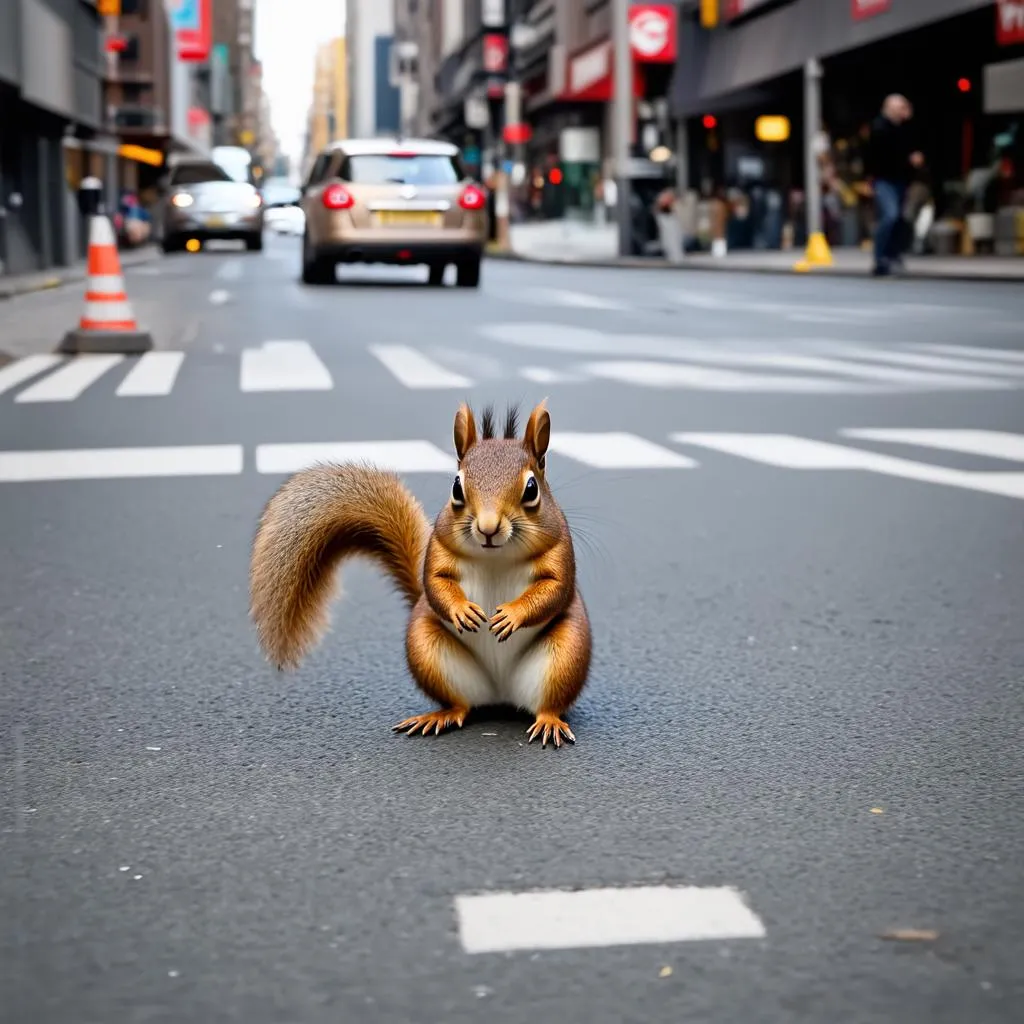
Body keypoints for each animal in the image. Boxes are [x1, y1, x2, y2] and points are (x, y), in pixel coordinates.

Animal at [248, 403, 598, 749]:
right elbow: (435, 583)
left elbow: (553, 589)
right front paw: (462, 610)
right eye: (456, 487)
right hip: (427, 648)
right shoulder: (438, 550)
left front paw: (511, 615)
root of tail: (500, 693)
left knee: (547, 704)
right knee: (461, 705)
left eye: (531, 489)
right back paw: (440, 716)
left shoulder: (559, 550)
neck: (495, 556)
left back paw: (548, 721)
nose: (488, 528)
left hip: (566, 655)